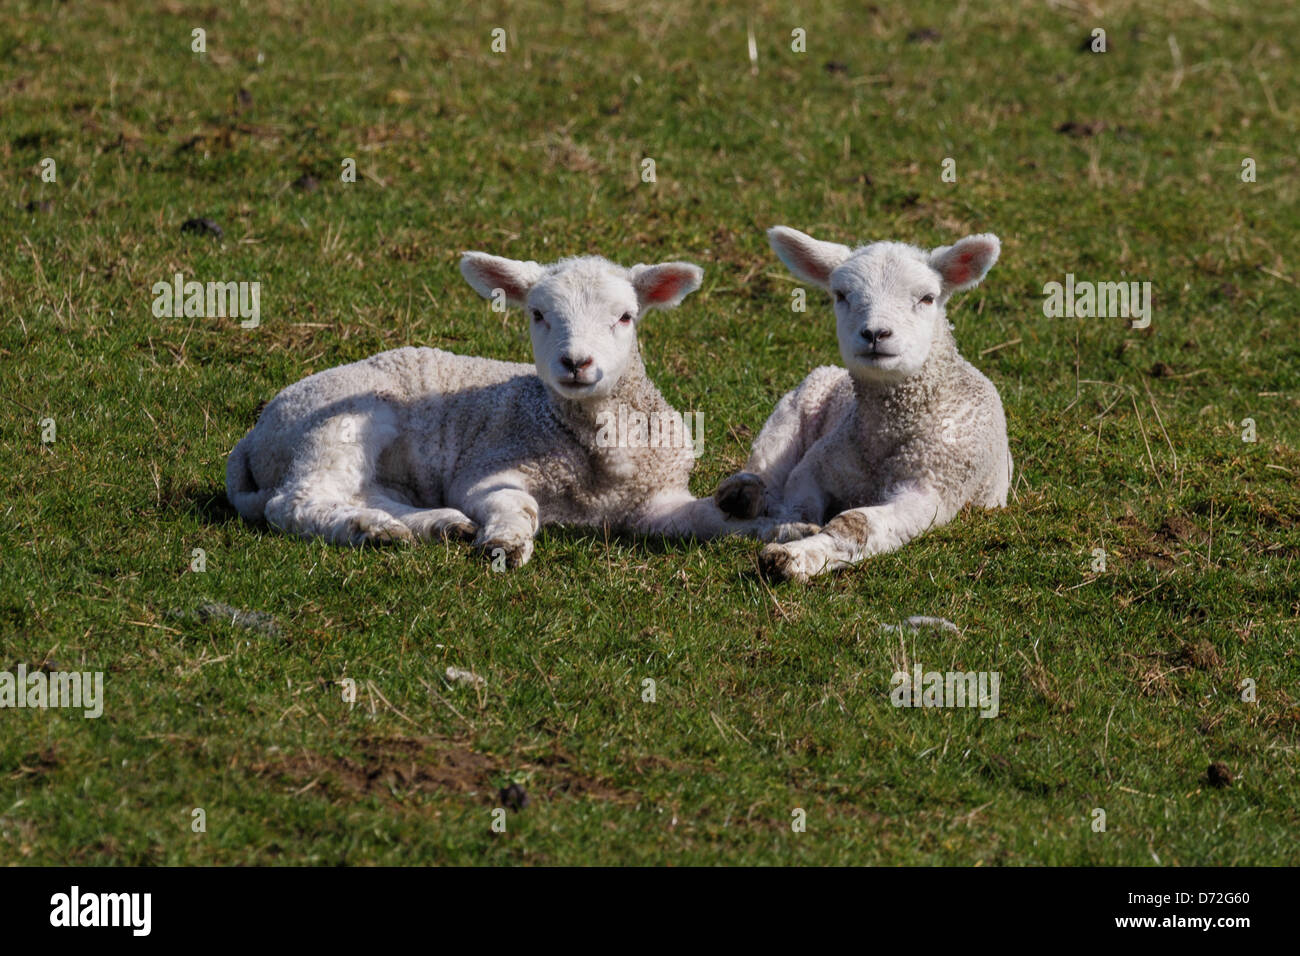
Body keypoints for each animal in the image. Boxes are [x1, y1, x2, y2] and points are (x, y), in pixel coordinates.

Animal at [226, 252, 811, 567]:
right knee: (295, 503)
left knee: (365, 493)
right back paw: (370, 530)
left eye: (626, 316)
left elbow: (712, 519)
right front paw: (505, 542)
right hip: (339, 424)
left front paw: (786, 530)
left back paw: (433, 525)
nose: (576, 362)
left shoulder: (657, 504)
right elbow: (517, 505)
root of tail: (253, 438)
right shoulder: (488, 471)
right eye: (537, 314)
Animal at [717, 226, 1008, 582]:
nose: (875, 333)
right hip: (791, 411)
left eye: (927, 298)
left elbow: (854, 524)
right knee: (766, 468)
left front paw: (792, 557)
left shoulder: (932, 488)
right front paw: (792, 531)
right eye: (841, 295)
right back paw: (743, 494)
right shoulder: (818, 464)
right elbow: (797, 502)